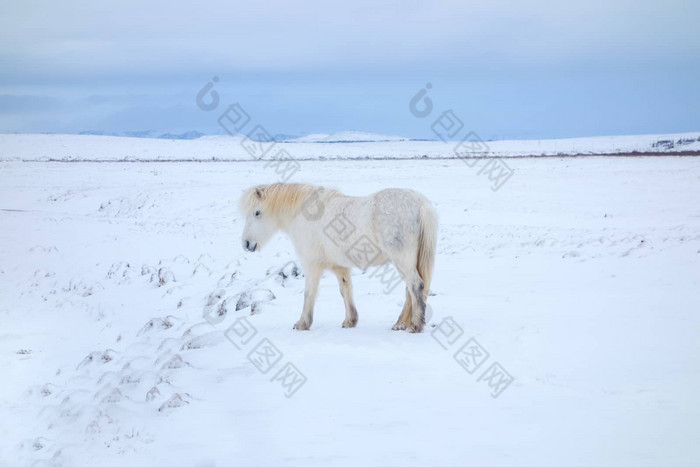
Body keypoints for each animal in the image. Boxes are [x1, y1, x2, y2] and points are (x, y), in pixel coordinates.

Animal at [241, 183, 438, 332]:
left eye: (257, 212)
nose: (246, 244)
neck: (304, 214)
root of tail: (421, 203)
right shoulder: (339, 266)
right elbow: (346, 290)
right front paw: (350, 320)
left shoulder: (312, 265)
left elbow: (309, 293)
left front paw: (302, 323)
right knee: (410, 290)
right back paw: (400, 324)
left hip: (402, 260)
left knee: (415, 286)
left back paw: (415, 325)